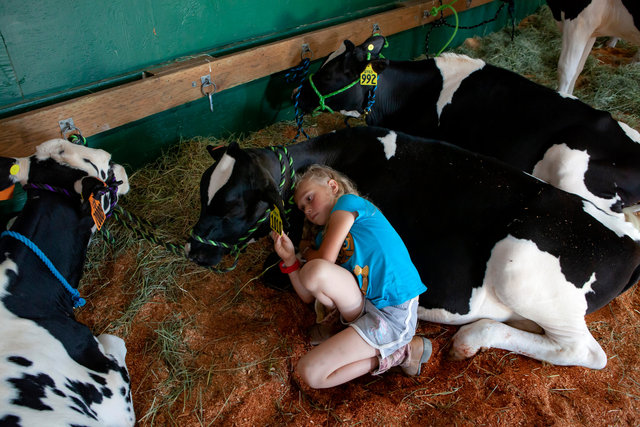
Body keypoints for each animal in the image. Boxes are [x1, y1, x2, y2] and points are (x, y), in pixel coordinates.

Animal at [185, 127, 640, 372]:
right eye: (202, 191)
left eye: (231, 206)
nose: (192, 250)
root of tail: (627, 238)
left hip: (518, 267)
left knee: (583, 350)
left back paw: (471, 338)